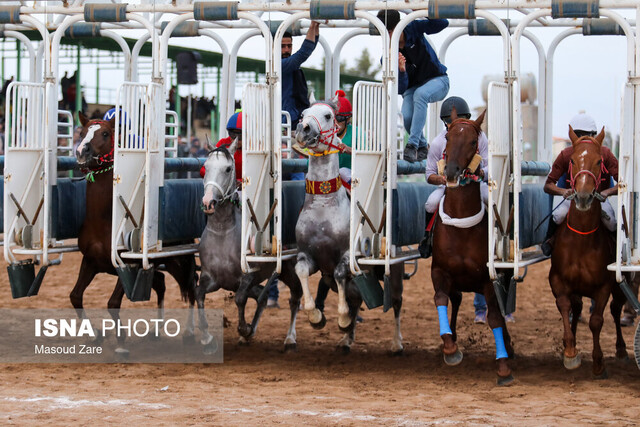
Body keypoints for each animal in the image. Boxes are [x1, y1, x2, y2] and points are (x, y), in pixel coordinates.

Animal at [74, 113, 196, 354]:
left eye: (105, 133)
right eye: (82, 133)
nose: (82, 151)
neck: (106, 219)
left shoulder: (127, 264)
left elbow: (113, 303)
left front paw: (121, 342)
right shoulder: (90, 261)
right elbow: (76, 297)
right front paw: (95, 335)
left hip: (179, 260)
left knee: (193, 286)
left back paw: (192, 333)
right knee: (161, 283)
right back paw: (157, 330)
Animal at [198, 140, 302, 352]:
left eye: (228, 169)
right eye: (206, 167)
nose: (208, 202)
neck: (222, 232)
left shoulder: (248, 275)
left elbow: (240, 299)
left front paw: (244, 328)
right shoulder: (211, 277)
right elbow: (199, 296)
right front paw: (207, 338)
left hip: (289, 268)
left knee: (295, 296)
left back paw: (289, 338)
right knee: (262, 296)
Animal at [430, 108, 516, 386]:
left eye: (471, 142)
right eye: (448, 138)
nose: (451, 172)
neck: (461, 226)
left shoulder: (489, 279)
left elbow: (495, 317)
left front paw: (503, 366)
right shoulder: (439, 270)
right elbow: (440, 298)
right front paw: (450, 347)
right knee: (454, 298)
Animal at [548, 127, 628, 378]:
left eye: (600, 161)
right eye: (572, 160)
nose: (583, 197)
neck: (581, 239)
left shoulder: (604, 286)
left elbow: (596, 321)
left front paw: (598, 362)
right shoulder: (558, 280)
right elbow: (565, 306)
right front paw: (570, 352)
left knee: (615, 310)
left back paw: (621, 350)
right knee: (576, 308)